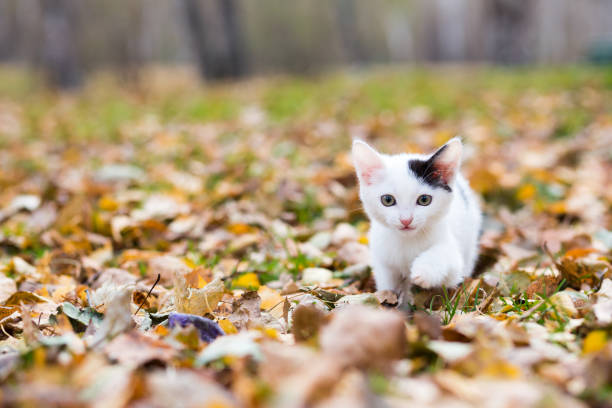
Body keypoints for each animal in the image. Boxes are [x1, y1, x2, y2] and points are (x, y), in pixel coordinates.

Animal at [354, 138, 482, 302]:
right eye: (387, 200)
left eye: (424, 200)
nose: (406, 220)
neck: (408, 241)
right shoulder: (383, 261)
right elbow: (388, 284)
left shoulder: (454, 265)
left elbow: (444, 256)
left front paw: (424, 271)